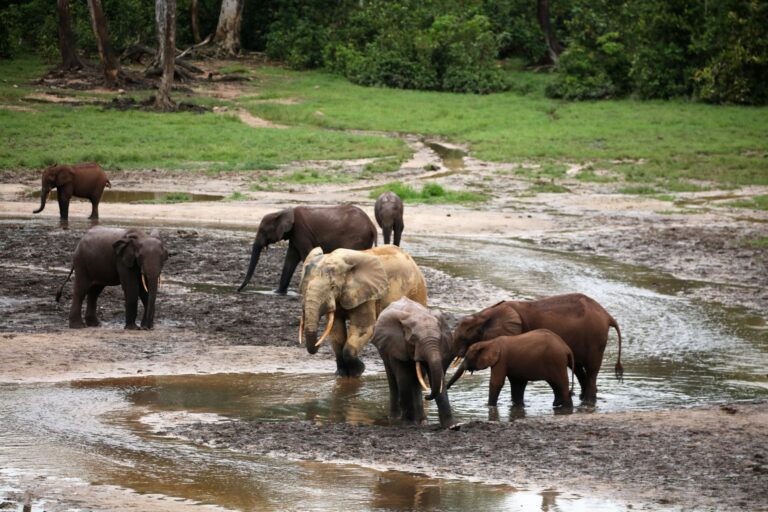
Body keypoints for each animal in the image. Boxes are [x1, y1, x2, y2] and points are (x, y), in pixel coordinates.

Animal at [237, 203, 376, 294]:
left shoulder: (301, 232)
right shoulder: (294, 235)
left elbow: (307, 255)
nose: (238, 290)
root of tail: (371, 224)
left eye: (262, 230)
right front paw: (278, 292)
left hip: (356, 238)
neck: (283, 212)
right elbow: (290, 259)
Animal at [298, 245, 428, 376]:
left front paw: (358, 371)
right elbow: (336, 331)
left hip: (417, 291)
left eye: (333, 287)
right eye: (304, 286)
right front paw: (342, 374)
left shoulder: (366, 295)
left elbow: (363, 329)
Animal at [444, 330, 576, 410]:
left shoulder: (501, 359)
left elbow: (496, 382)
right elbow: (517, 383)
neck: (488, 342)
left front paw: (489, 407)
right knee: (555, 384)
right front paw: (518, 406)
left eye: (467, 357)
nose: (446, 388)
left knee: (560, 383)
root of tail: (567, 348)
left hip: (556, 361)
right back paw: (557, 405)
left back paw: (566, 408)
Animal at [450, 292, 624, 404]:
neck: (485, 314)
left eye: (464, 338)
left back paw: (588, 401)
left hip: (595, 339)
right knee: (579, 369)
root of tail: (608, 316)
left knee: (592, 368)